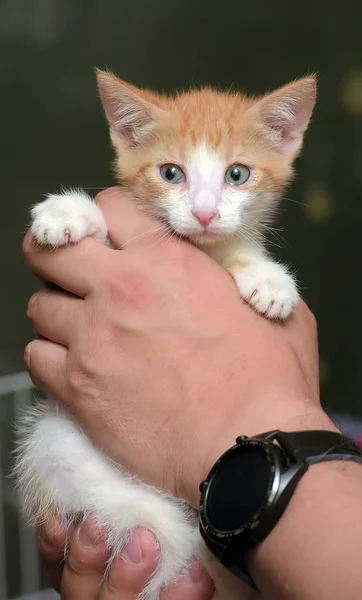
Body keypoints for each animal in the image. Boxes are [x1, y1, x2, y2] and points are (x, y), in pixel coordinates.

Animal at [14, 71, 316, 600]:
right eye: (172, 174)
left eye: (237, 175)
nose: (204, 214)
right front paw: (69, 212)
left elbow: (240, 250)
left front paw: (268, 278)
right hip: (56, 443)